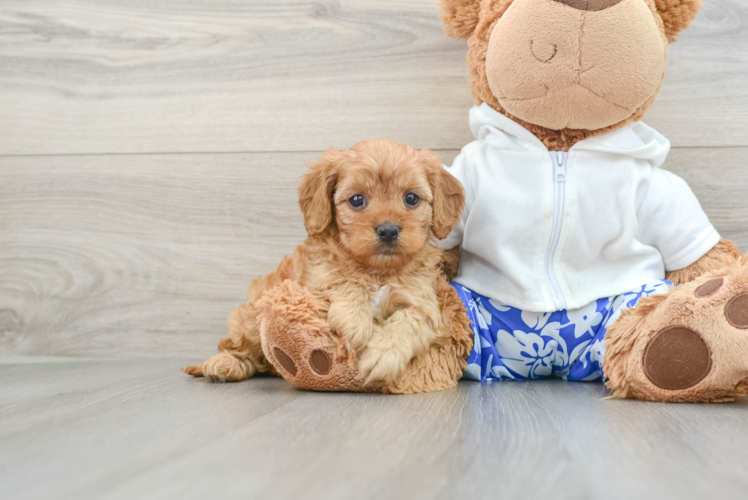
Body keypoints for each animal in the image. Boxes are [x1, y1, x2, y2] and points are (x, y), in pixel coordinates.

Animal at [186, 141, 468, 386]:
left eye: (411, 198)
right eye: (357, 200)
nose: (388, 230)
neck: (377, 271)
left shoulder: (424, 303)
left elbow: (409, 321)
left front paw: (382, 355)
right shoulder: (313, 283)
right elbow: (342, 280)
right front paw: (356, 323)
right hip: (252, 315)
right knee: (239, 345)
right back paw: (224, 364)